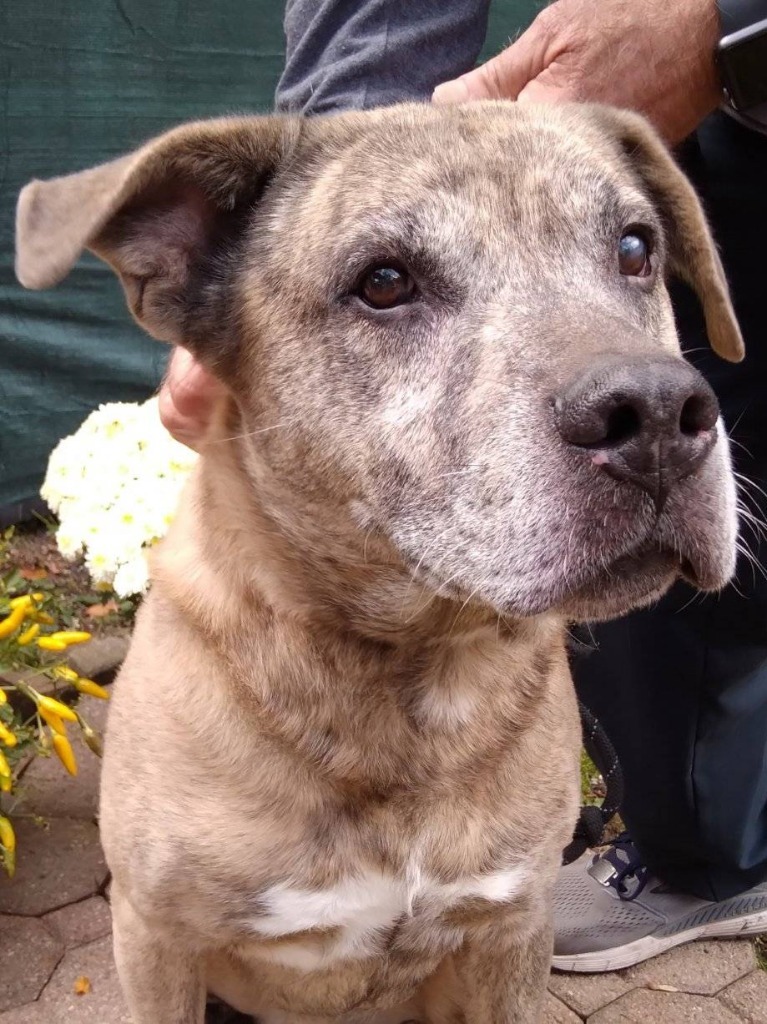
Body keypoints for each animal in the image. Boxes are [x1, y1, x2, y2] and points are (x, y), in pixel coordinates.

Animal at [13, 97, 741, 1024]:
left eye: (634, 248)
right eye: (384, 283)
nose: (655, 415)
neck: (403, 690)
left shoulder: (510, 931)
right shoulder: (154, 939)